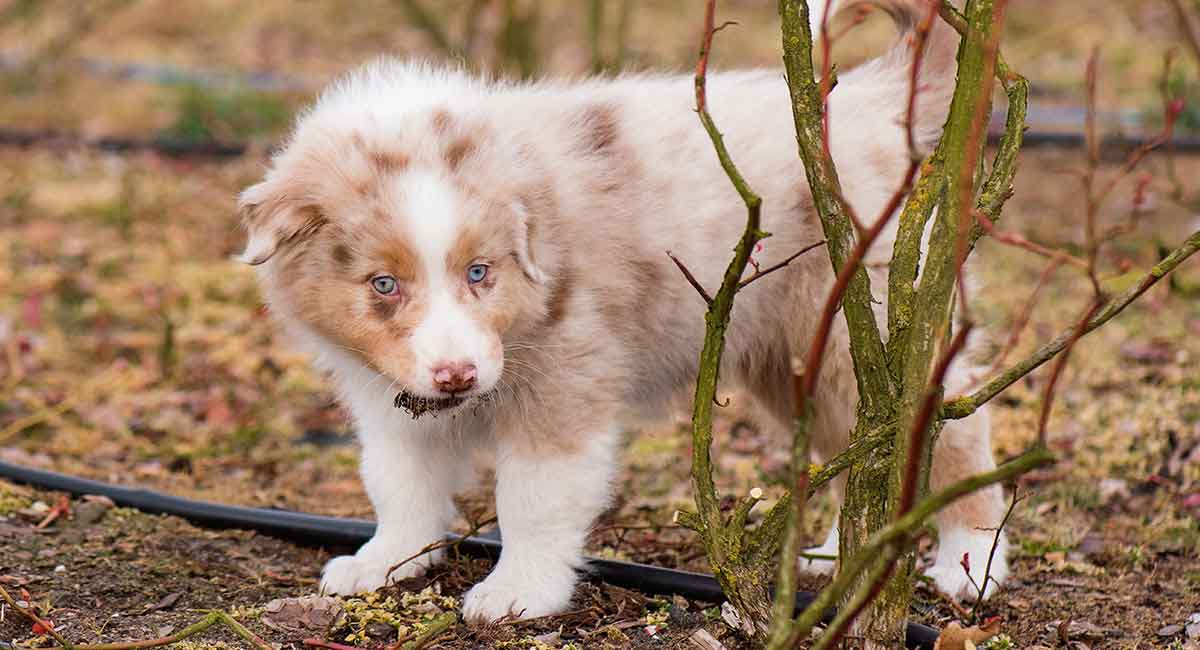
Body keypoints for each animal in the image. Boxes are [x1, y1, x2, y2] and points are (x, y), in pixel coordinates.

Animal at [238, 0, 1008, 623]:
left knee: (951, 432)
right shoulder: (389, 392)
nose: (457, 377)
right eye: (383, 284)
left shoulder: (565, 380)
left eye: (480, 273)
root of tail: (872, 100)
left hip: (855, 325)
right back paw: (836, 554)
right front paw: (386, 560)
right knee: (867, 441)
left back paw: (967, 564)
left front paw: (517, 593)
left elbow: (534, 498)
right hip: (799, 355)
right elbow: (398, 479)